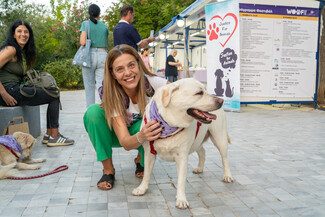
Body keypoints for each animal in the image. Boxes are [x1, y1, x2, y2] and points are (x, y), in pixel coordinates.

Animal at [132, 78, 233, 209]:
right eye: (199, 93)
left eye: (205, 90)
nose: (221, 100)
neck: (168, 123)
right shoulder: (149, 153)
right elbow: (146, 174)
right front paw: (142, 188)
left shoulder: (182, 157)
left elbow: (181, 181)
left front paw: (181, 199)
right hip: (198, 140)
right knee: (202, 151)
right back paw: (200, 168)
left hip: (219, 137)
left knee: (224, 158)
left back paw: (227, 175)